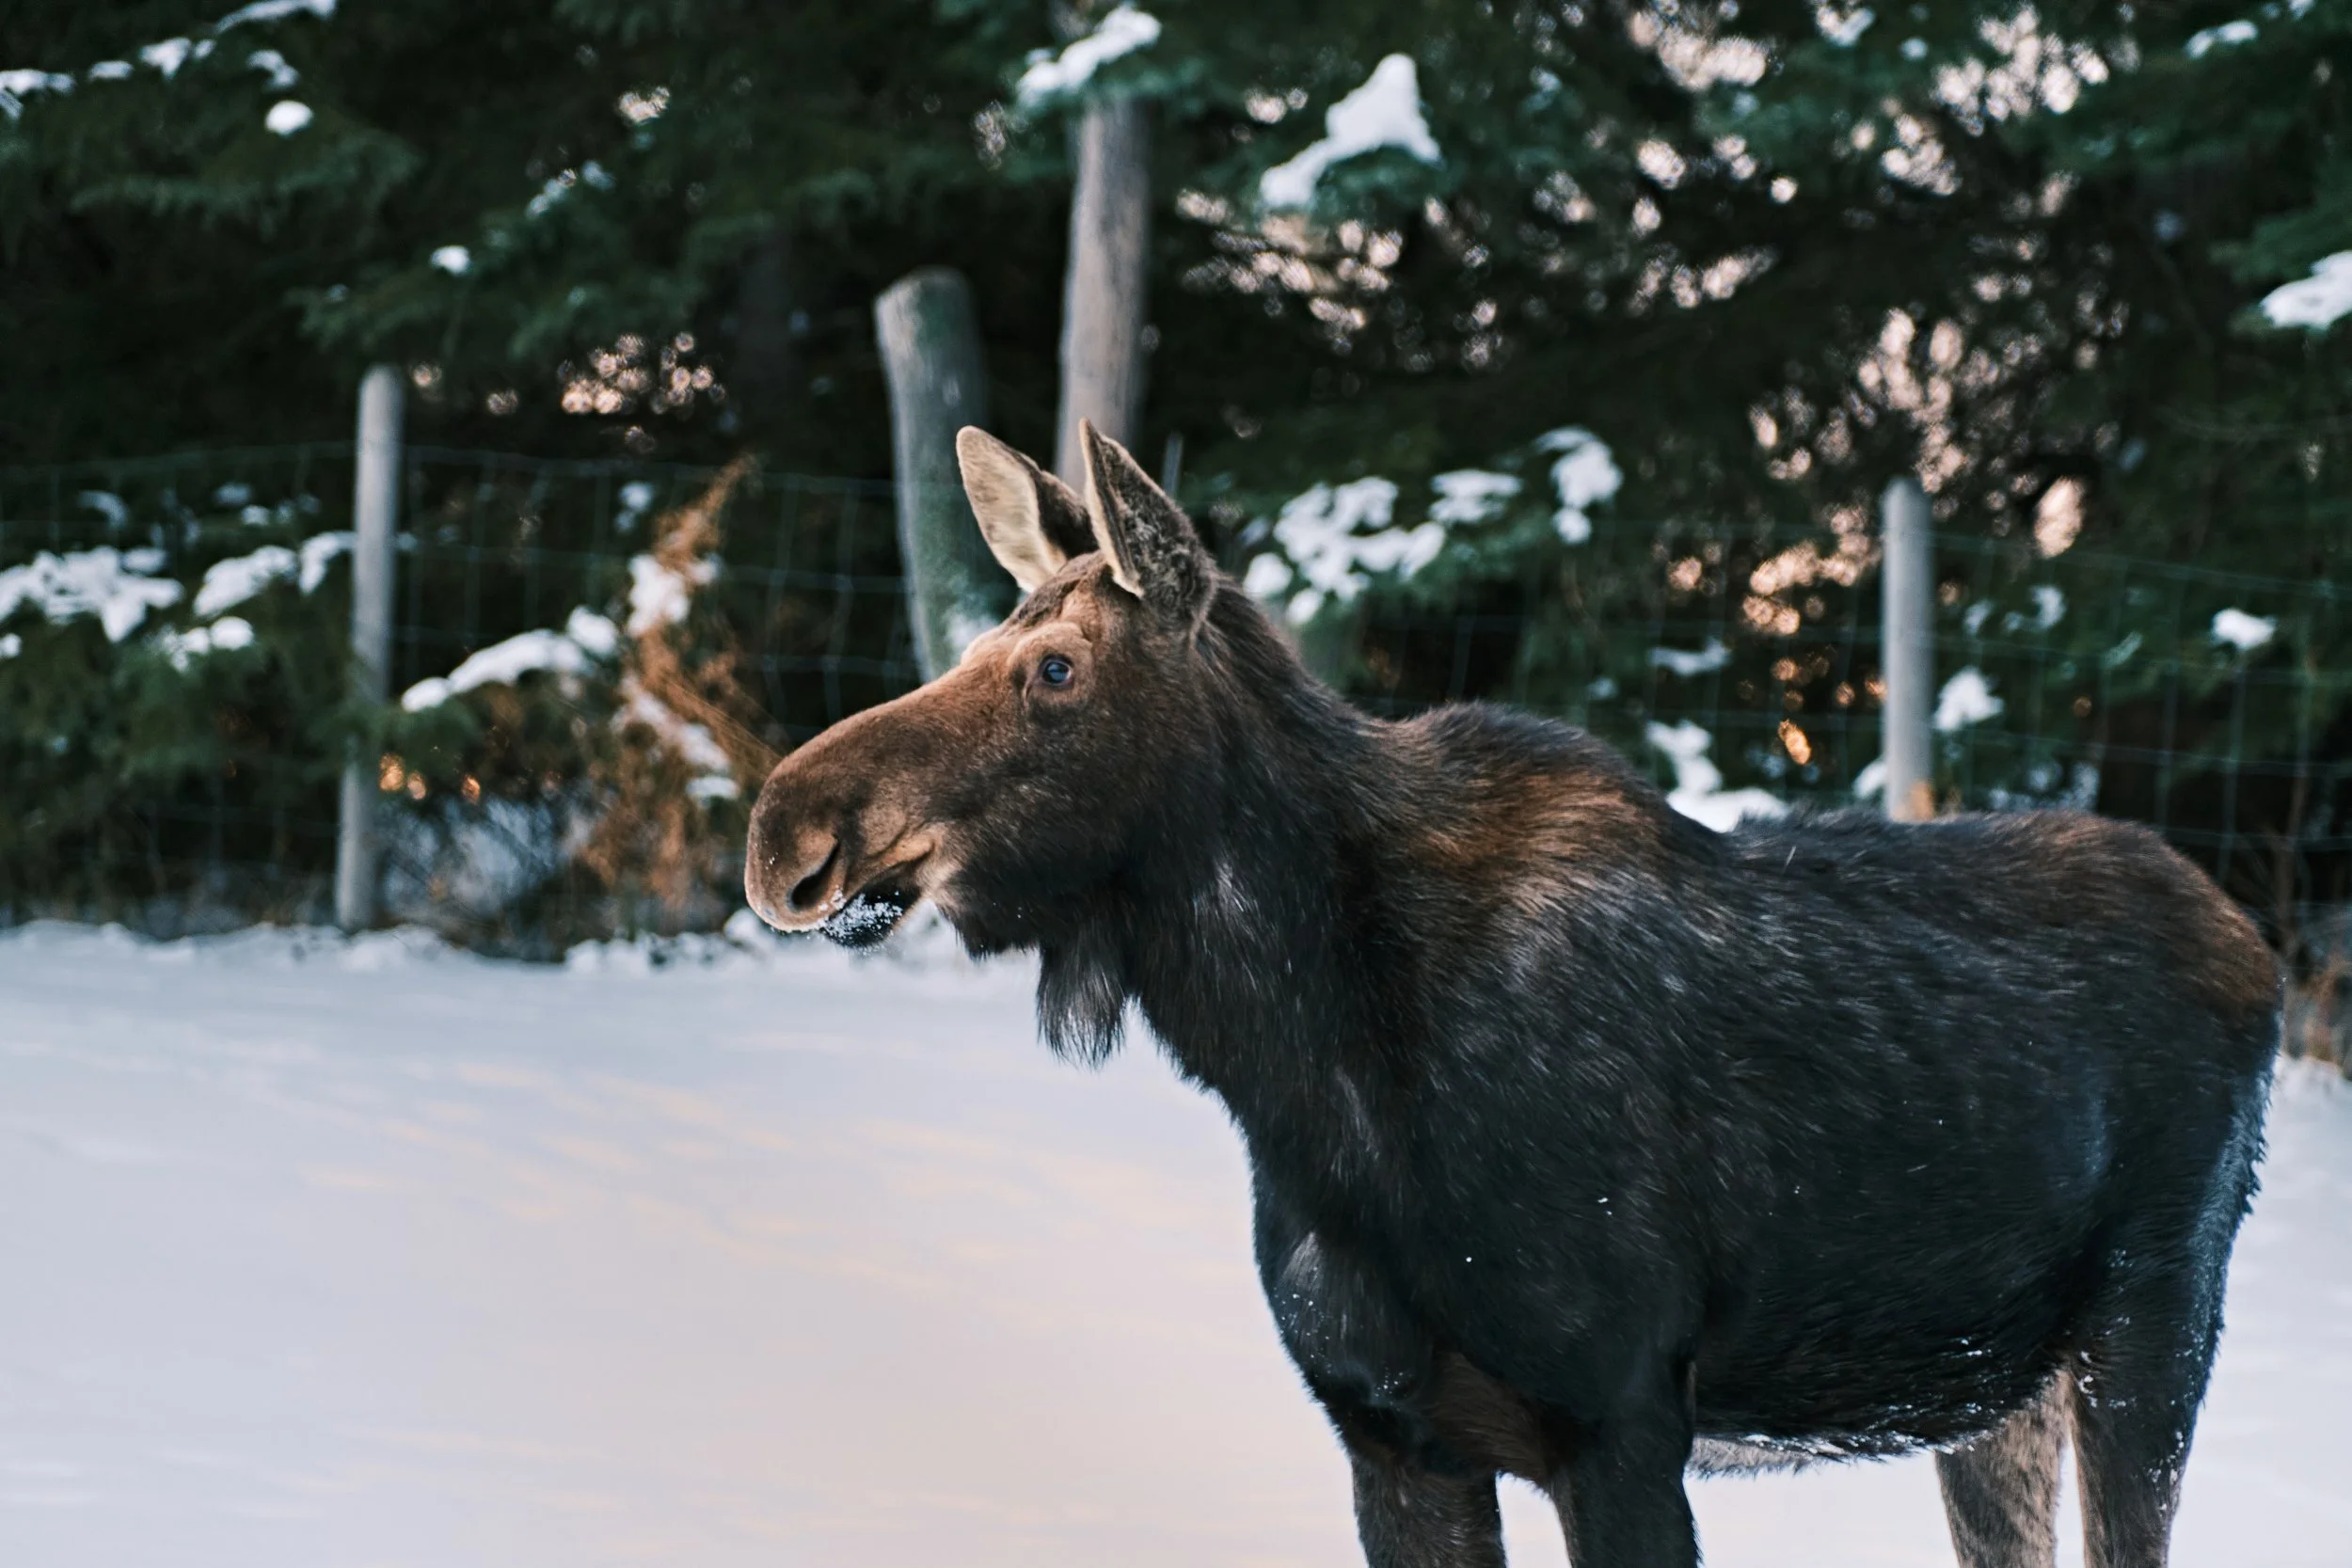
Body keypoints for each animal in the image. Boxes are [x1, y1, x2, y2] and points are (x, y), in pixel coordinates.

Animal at [745, 422, 2278, 1568]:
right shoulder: (1391, 1434)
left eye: (1054, 666)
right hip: (1986, 1388)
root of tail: (2254, 941)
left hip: (2152, 1324)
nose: (783, 827)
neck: (1313, 1079)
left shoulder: (1621, 1424)